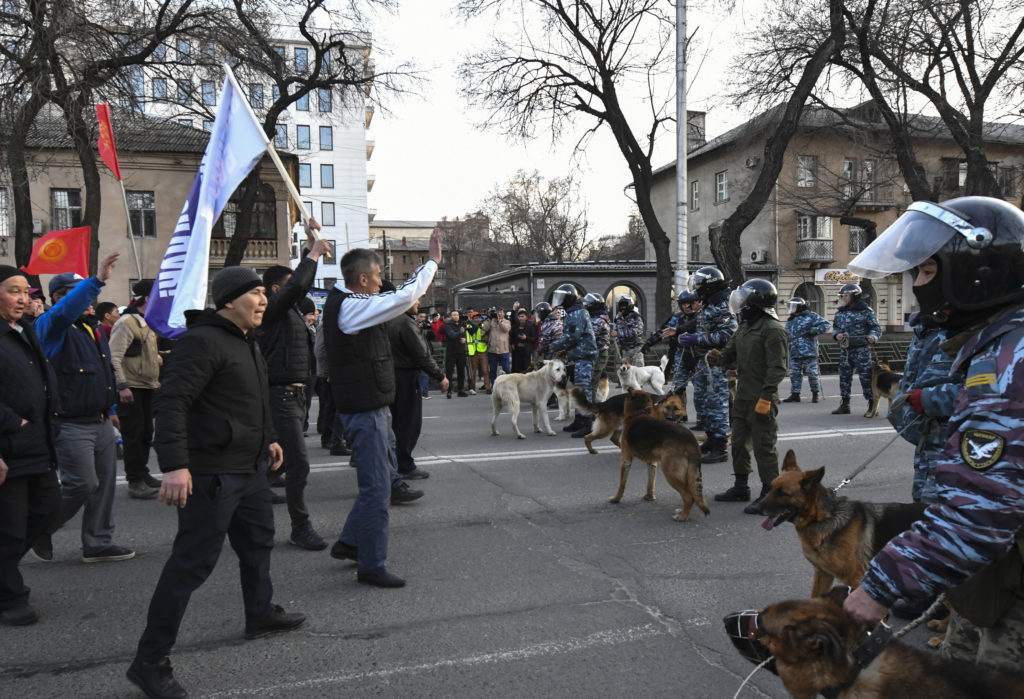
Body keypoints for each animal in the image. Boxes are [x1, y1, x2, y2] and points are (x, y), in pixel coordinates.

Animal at [606, 390, 712, 521]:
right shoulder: (652, 462)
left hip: (670, 472)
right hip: (686, 474)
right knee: (691, 493)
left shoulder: (626, 460)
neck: (638, 413)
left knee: (688, 496)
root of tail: (691, 439)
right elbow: (650, 482)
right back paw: (683, 511)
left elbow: (622, 484)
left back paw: (683, 516)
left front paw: (616, 499)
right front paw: (649, 497)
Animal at [753, 454, 929, 597]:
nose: (752, 509)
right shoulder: (823, 574)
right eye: (770, 488)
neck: (822, 518)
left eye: (782, 493)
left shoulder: (857, 579)